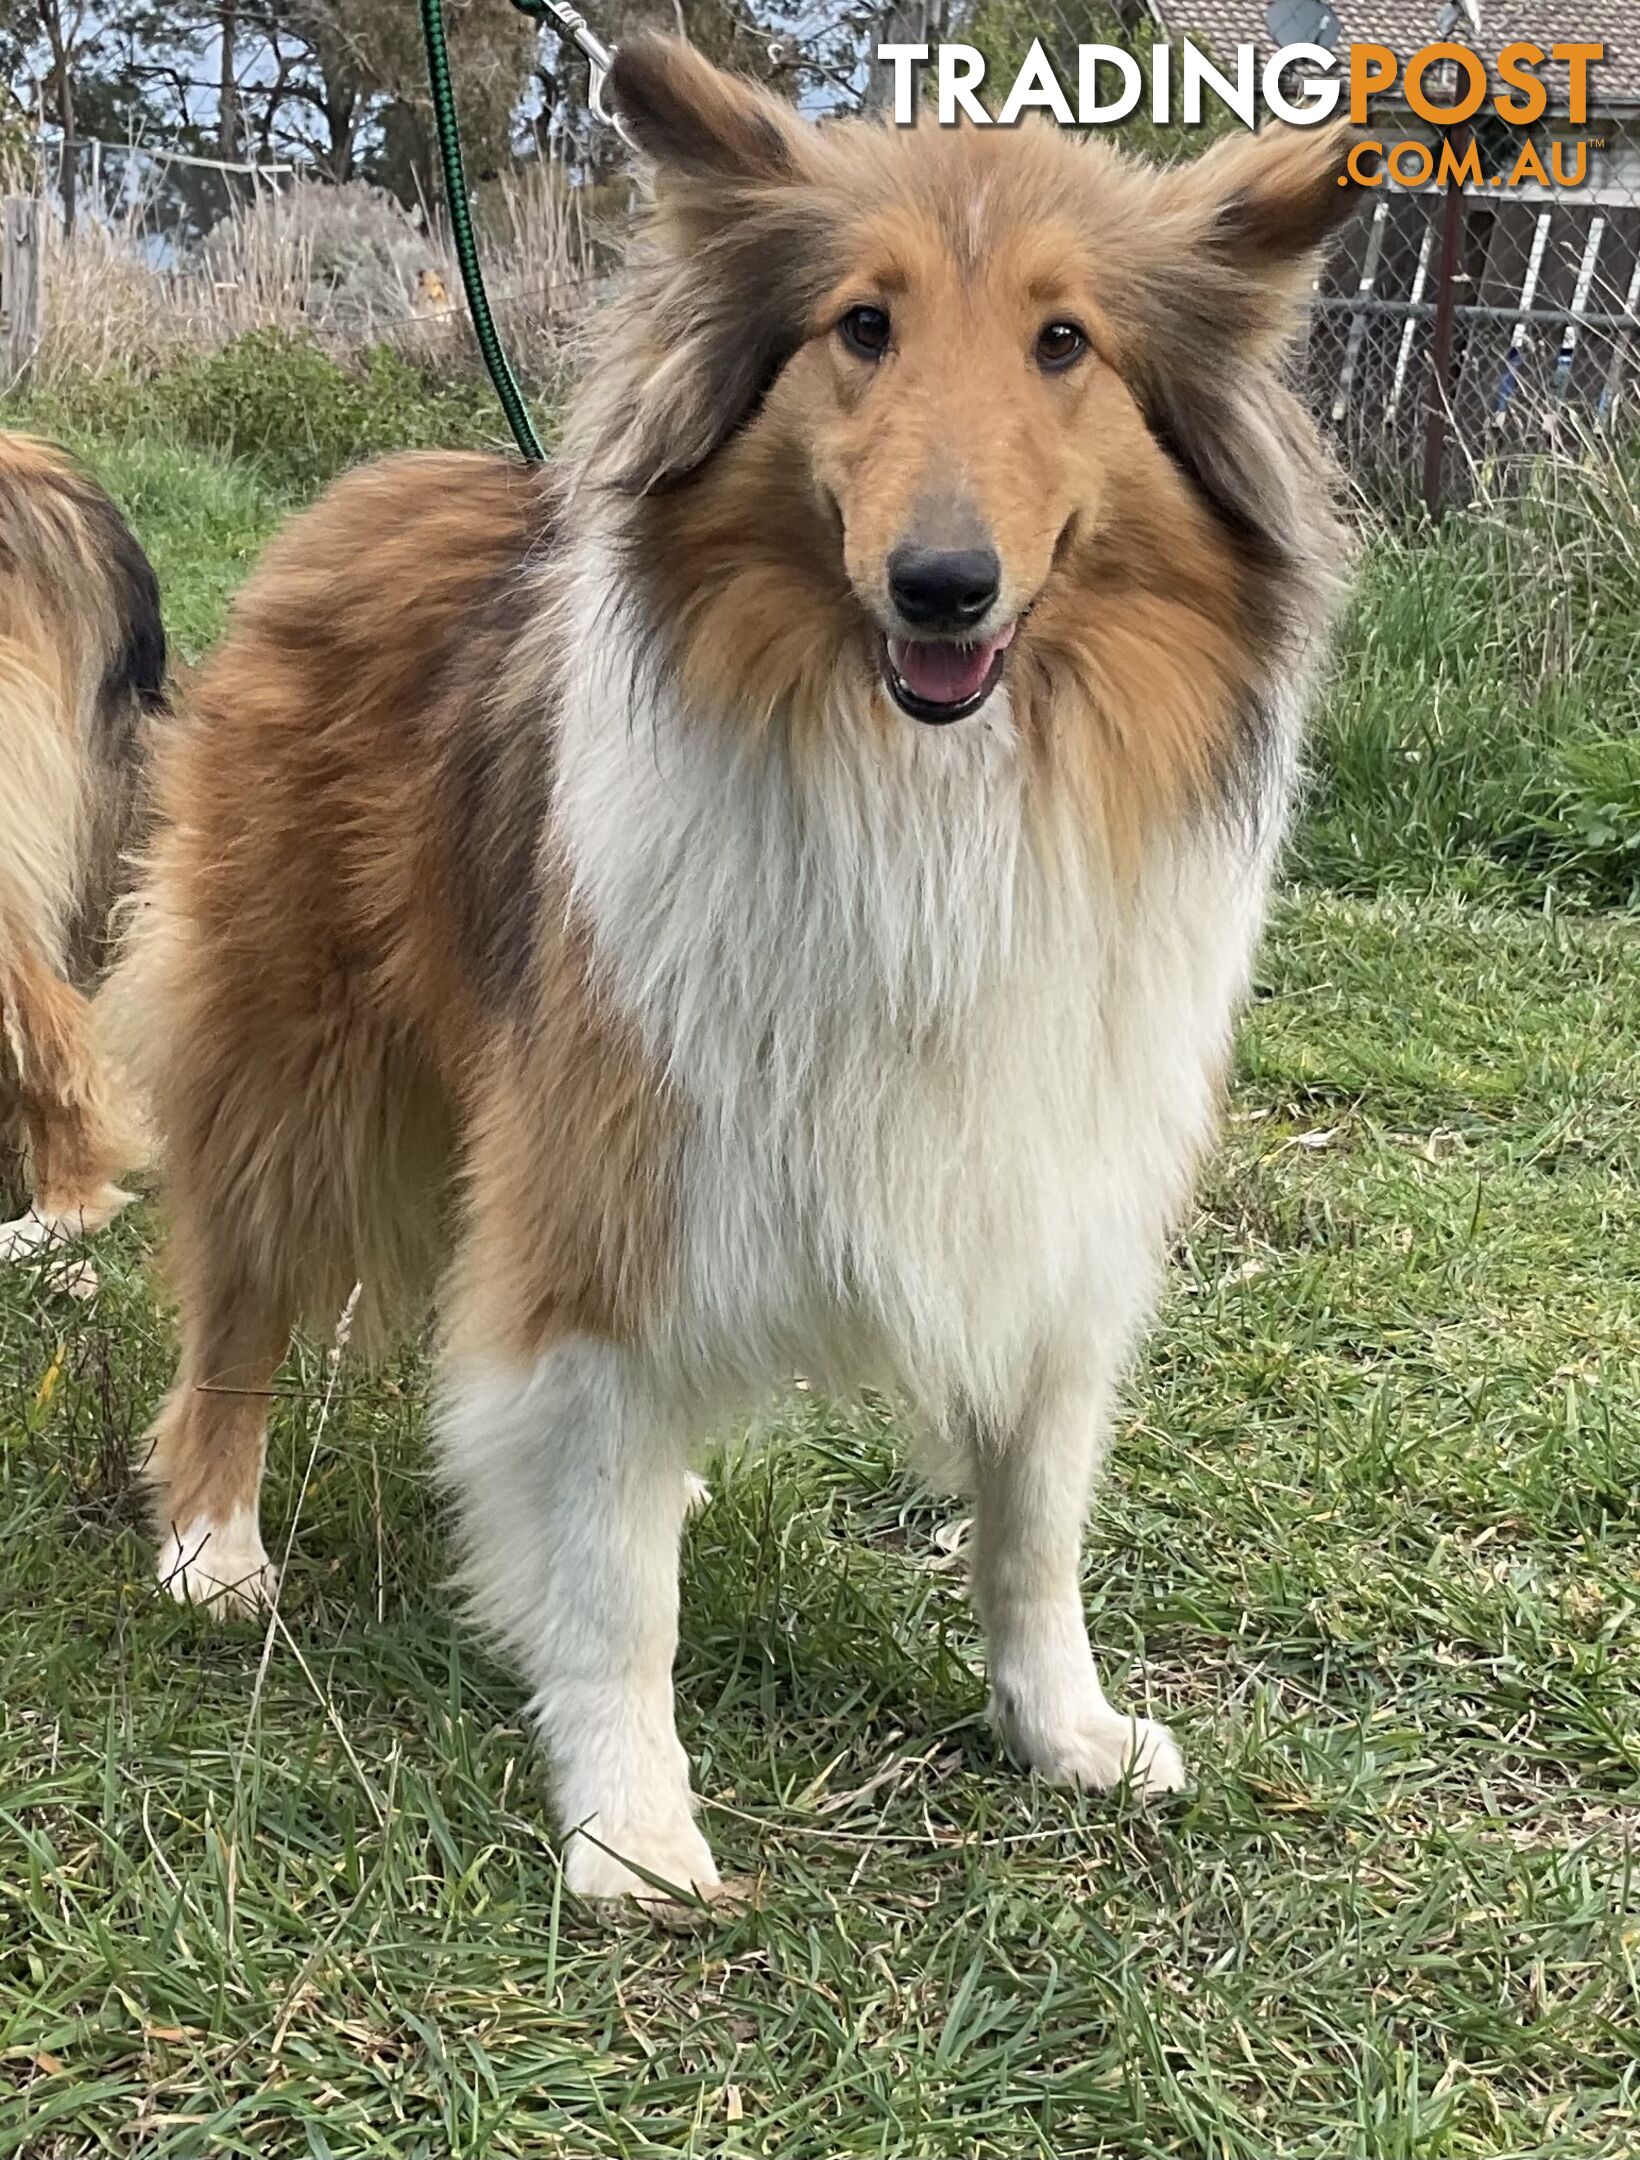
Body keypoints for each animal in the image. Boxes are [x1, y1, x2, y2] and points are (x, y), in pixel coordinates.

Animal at [118, 42, 1356, 1900]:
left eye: (1066, 342)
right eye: (863, 325)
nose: (943, 586)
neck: (927, 790)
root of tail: (365, 489)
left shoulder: (1048, 1188)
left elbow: (1032, 1521)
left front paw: (1062, 1731)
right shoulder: (603, 1175)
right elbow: (615, 1583)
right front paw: (631, 1819)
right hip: (295, 1056)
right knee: (241, 1301)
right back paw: (213, 1540)